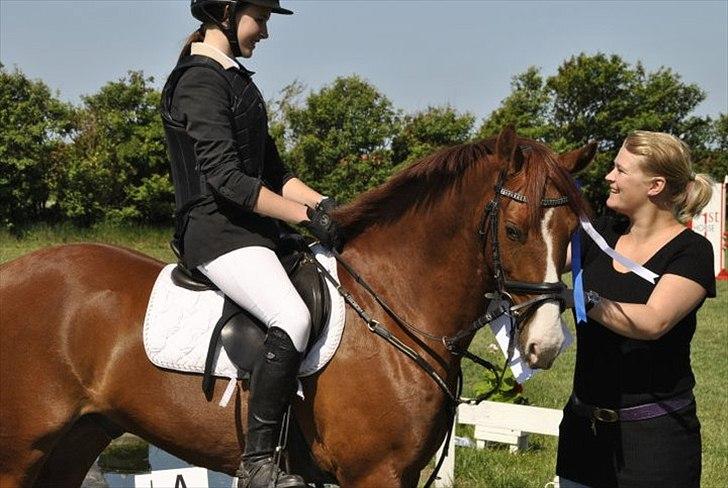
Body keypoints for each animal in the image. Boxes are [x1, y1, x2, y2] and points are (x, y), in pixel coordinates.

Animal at [0, 127, 595, 487]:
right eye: (514, 231)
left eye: (571, 233)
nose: (545, 346)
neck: (393, 303)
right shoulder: (374, 473)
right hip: (21, 449)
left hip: (78, 439)